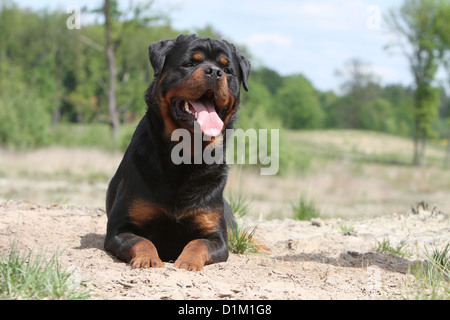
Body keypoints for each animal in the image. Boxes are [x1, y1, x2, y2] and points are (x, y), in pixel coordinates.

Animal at [104, 34, 250, 270]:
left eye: (227, 70)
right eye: (189, 63)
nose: (214, 72)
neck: (185, 155)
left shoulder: (217, 236)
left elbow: (197, 243)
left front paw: (188, 262)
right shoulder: (119, 228)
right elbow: (141, 240)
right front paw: (148, 258)